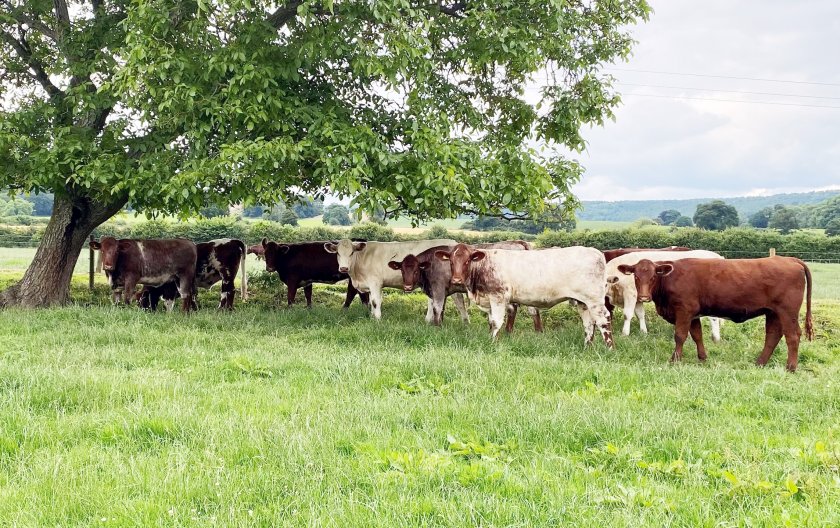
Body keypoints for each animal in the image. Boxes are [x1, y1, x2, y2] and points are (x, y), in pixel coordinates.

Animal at [322, 238, 456, 320]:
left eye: (351, 253)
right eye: (338, 253)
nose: (344, 268)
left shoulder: (375, 283)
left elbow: (375, 301)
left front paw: (377, 319)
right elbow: (371, 302)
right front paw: (372, 317)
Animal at [388, 241, 544, 332]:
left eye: (415, 270)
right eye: (402, 270)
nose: (407, 287)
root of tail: (518, 242)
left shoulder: (438, 288)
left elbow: (437, 309)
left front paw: (437, 328)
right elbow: (442, 309)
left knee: (515, 308)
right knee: (531, 309)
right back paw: (537, 332)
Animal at [436, 243, 612, 346]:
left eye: (467, 261)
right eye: (451, 261)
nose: (456, 280)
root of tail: (596, 252)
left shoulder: (498, 297)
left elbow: (496, 322)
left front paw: (492, 343)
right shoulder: (490, 300)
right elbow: (492, 322)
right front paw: (494, 339)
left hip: (594, 299)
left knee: (603, 319)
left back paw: (609, 348)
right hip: (582, 301)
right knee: (589, 323)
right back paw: (587, 346)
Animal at [616, 256, 812, 372]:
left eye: (653, 276)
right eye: (636, 276)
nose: (644, 296)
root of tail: (789, 259)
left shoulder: (684, 310)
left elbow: (680, 335)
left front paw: (675, 360)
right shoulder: (693, 314)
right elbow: (697, 335)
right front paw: (702, 359)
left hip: (787, 312)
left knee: (793, 336)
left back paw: (790, 367)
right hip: (773, 313)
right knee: (772, 336)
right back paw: (760, 363)